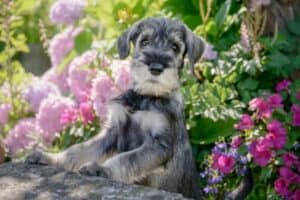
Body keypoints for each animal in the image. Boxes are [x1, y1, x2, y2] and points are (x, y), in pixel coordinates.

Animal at [25, 17, 252, 200]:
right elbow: (79, 149)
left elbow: (127, 159)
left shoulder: (158, 144)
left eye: (175, 47)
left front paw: (101, 169)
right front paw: (51, 158)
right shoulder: (112, 132)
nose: (156, 67)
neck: (145, 97)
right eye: (144, 42)